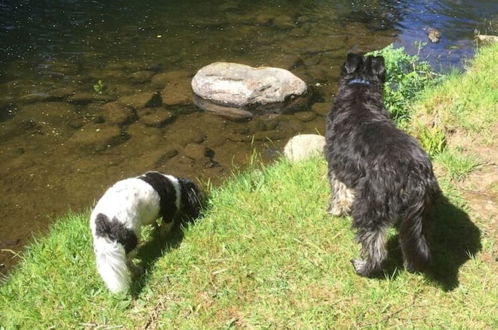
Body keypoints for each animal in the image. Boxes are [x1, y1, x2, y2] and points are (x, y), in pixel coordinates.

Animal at [326, 53, 440, 276]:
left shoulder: (336, 164)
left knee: (375, 247)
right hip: (423, 213)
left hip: (371, 206)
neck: (360, 89)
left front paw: (336, 210)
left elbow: (339, 191)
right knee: (417, 240)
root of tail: (416, 175)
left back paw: (362, 267)